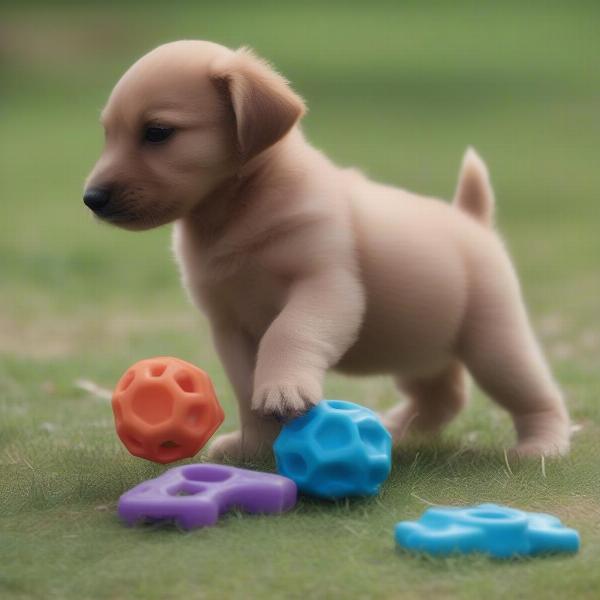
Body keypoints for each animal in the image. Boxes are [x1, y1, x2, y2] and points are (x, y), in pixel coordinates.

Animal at [84, 41, 572, 460]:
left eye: (157, 132)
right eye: (108, 134)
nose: (91, 198)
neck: (239, 213)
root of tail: (472, 220)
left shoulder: (326, 288)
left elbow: (288, 333)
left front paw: (284, 389)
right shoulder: (229, 324)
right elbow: (245, 386)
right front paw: (255, 447)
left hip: (494, 344)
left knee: (536, 394)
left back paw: (542, 444)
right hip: (419, 345)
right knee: (443, 396)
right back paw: (396, 429)